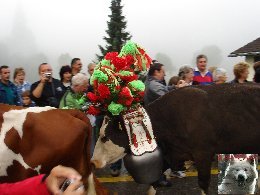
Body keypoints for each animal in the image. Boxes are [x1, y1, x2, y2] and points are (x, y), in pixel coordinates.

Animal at [91, 83, 260, 195]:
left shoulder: (203, 154)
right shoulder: (172, 154)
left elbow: (203, 184)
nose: (93, 161)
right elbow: (153, 184)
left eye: (104, 137)